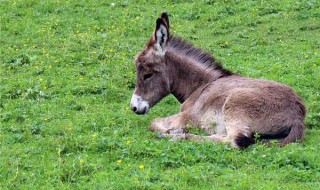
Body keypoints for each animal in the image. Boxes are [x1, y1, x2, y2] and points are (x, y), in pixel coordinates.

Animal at [129, 13, 304, 148]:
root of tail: (298, 114)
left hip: (235, 107)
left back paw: (177, 136)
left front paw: (172, 131)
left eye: (147, 75)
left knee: (233, 141)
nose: (133, 107)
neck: (200, 86)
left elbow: (153, 123)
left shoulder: (189, 115)